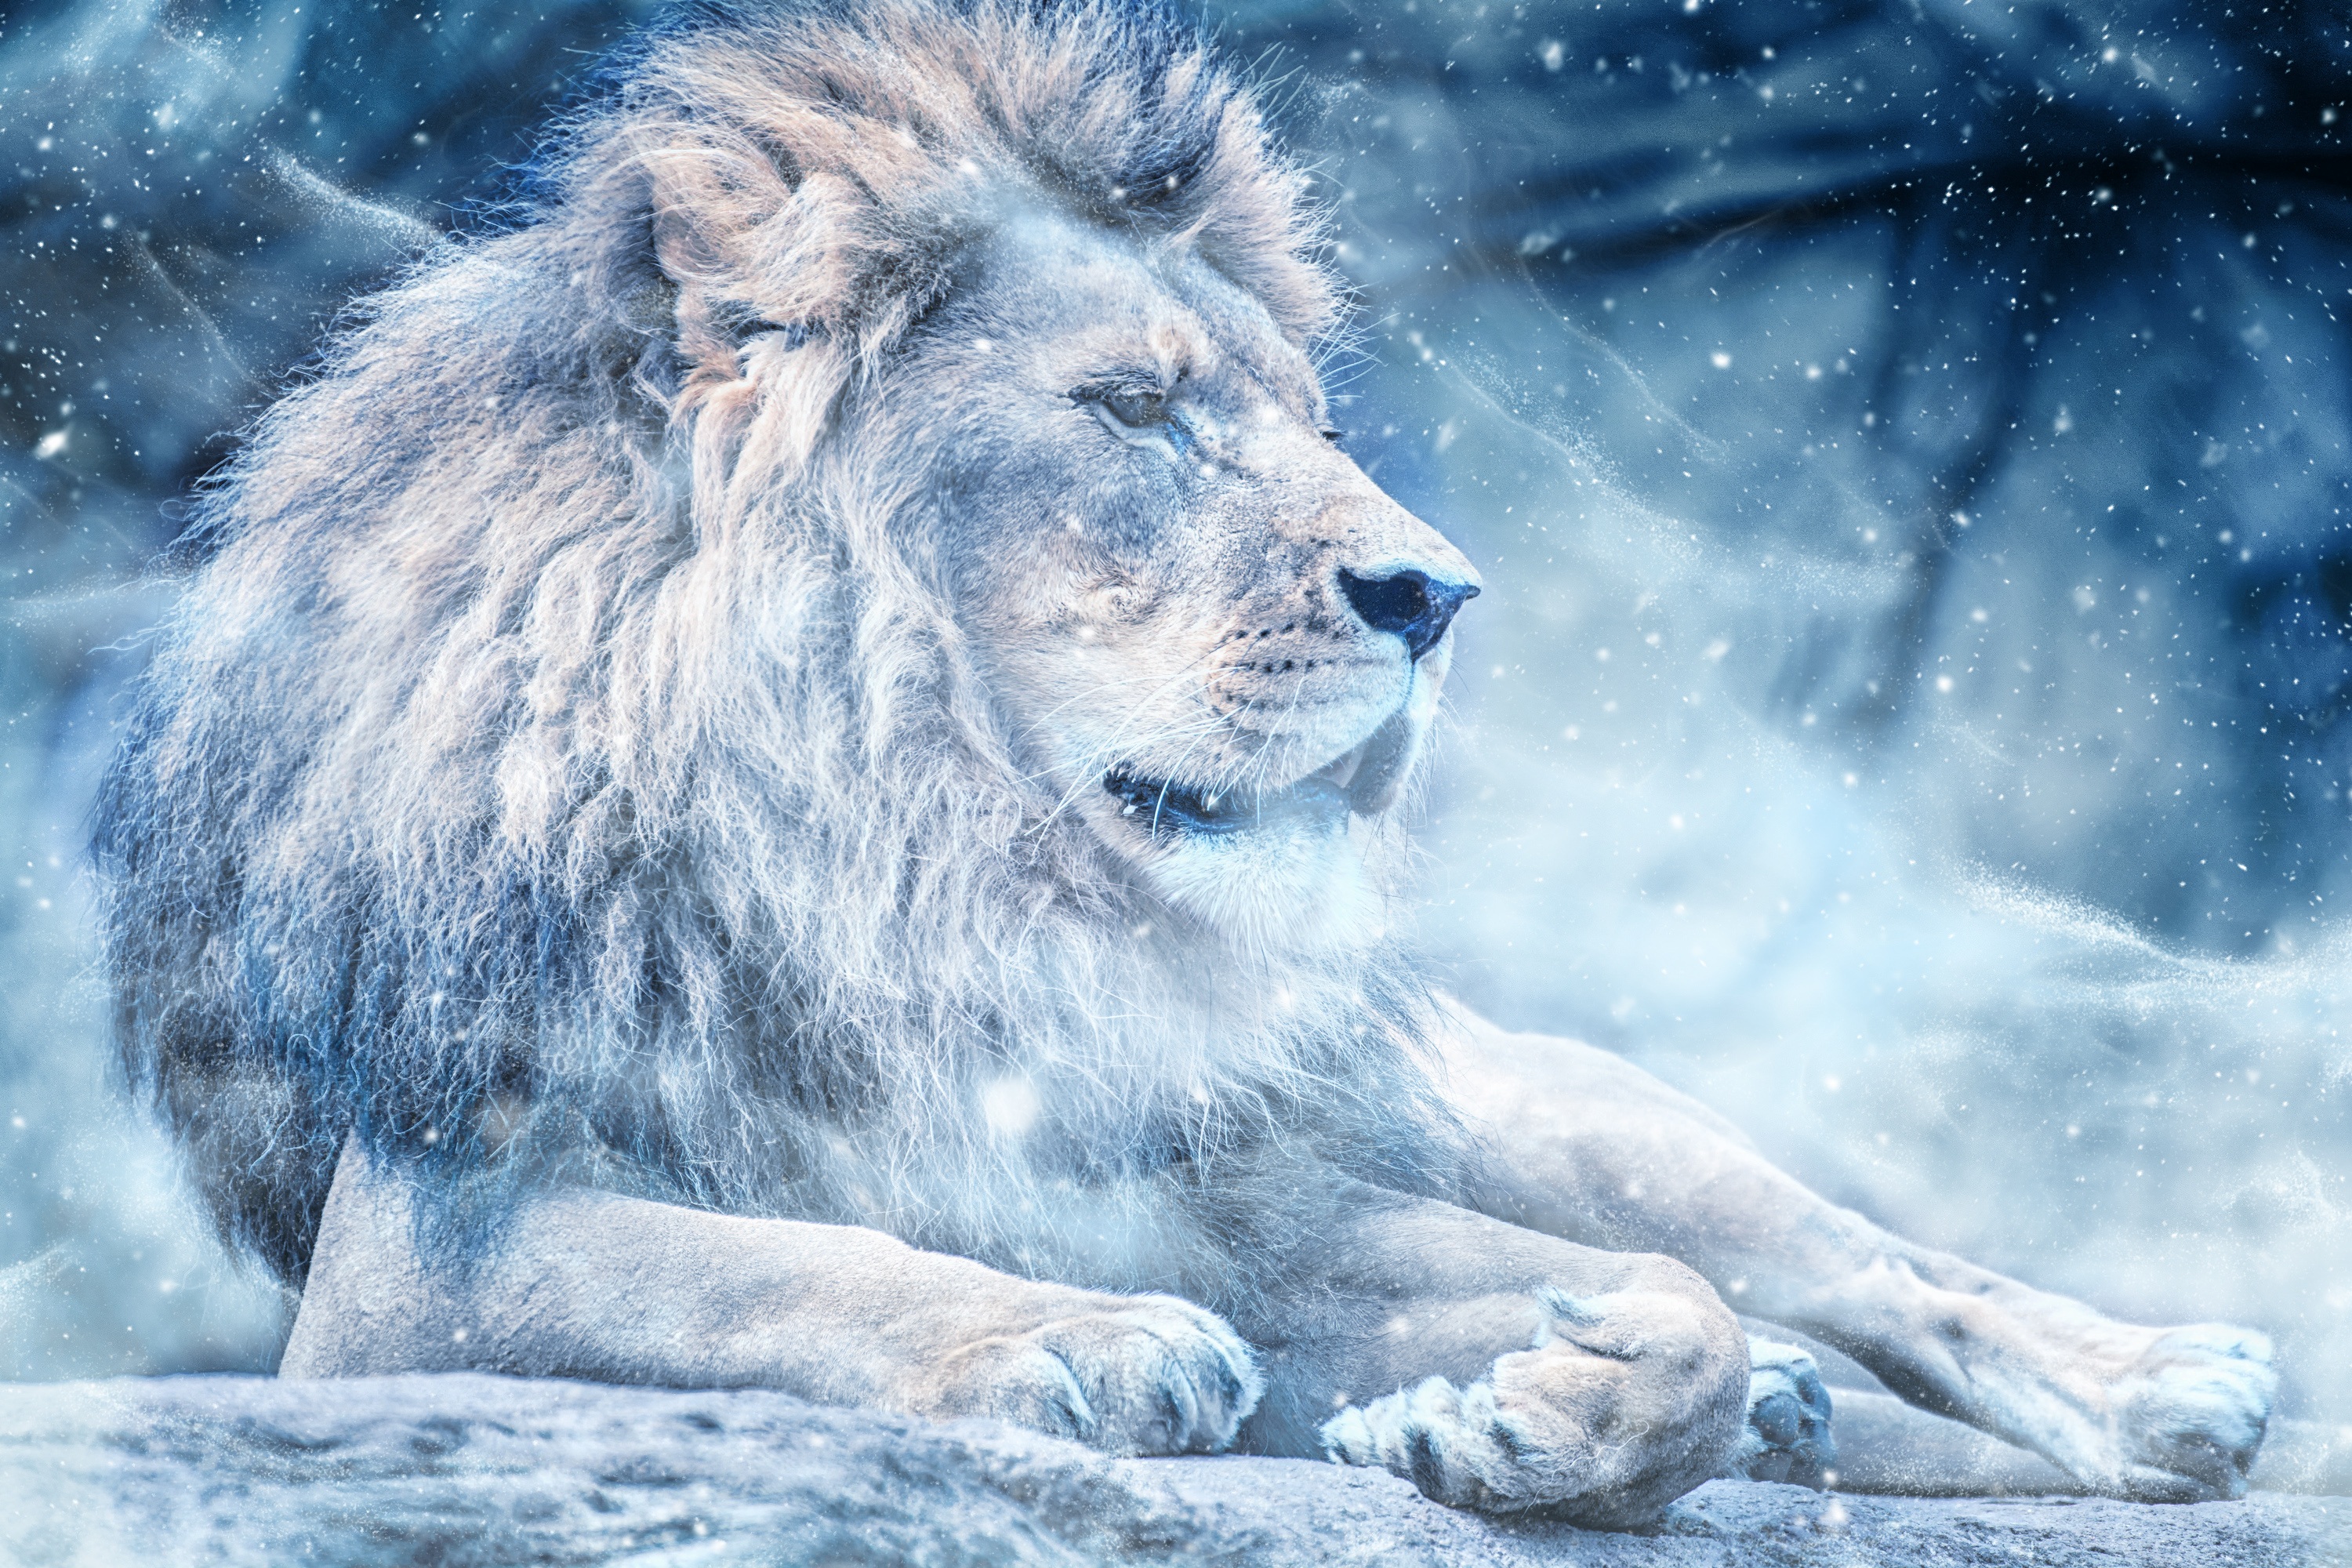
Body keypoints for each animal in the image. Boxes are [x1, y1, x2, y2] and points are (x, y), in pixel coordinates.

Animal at [93, 0, 2275, 1525]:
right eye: (1134, 411)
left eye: (1304, 418)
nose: (1437, 593)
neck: (917, 869)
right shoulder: (425, 1250)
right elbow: (769, 1269)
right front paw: (1085, 1345)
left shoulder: (1255, 1201)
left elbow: (1683, 1304)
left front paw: (1534, 1406)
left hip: (1548, 1100)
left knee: (1873, 1266)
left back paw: (2164, 1380)